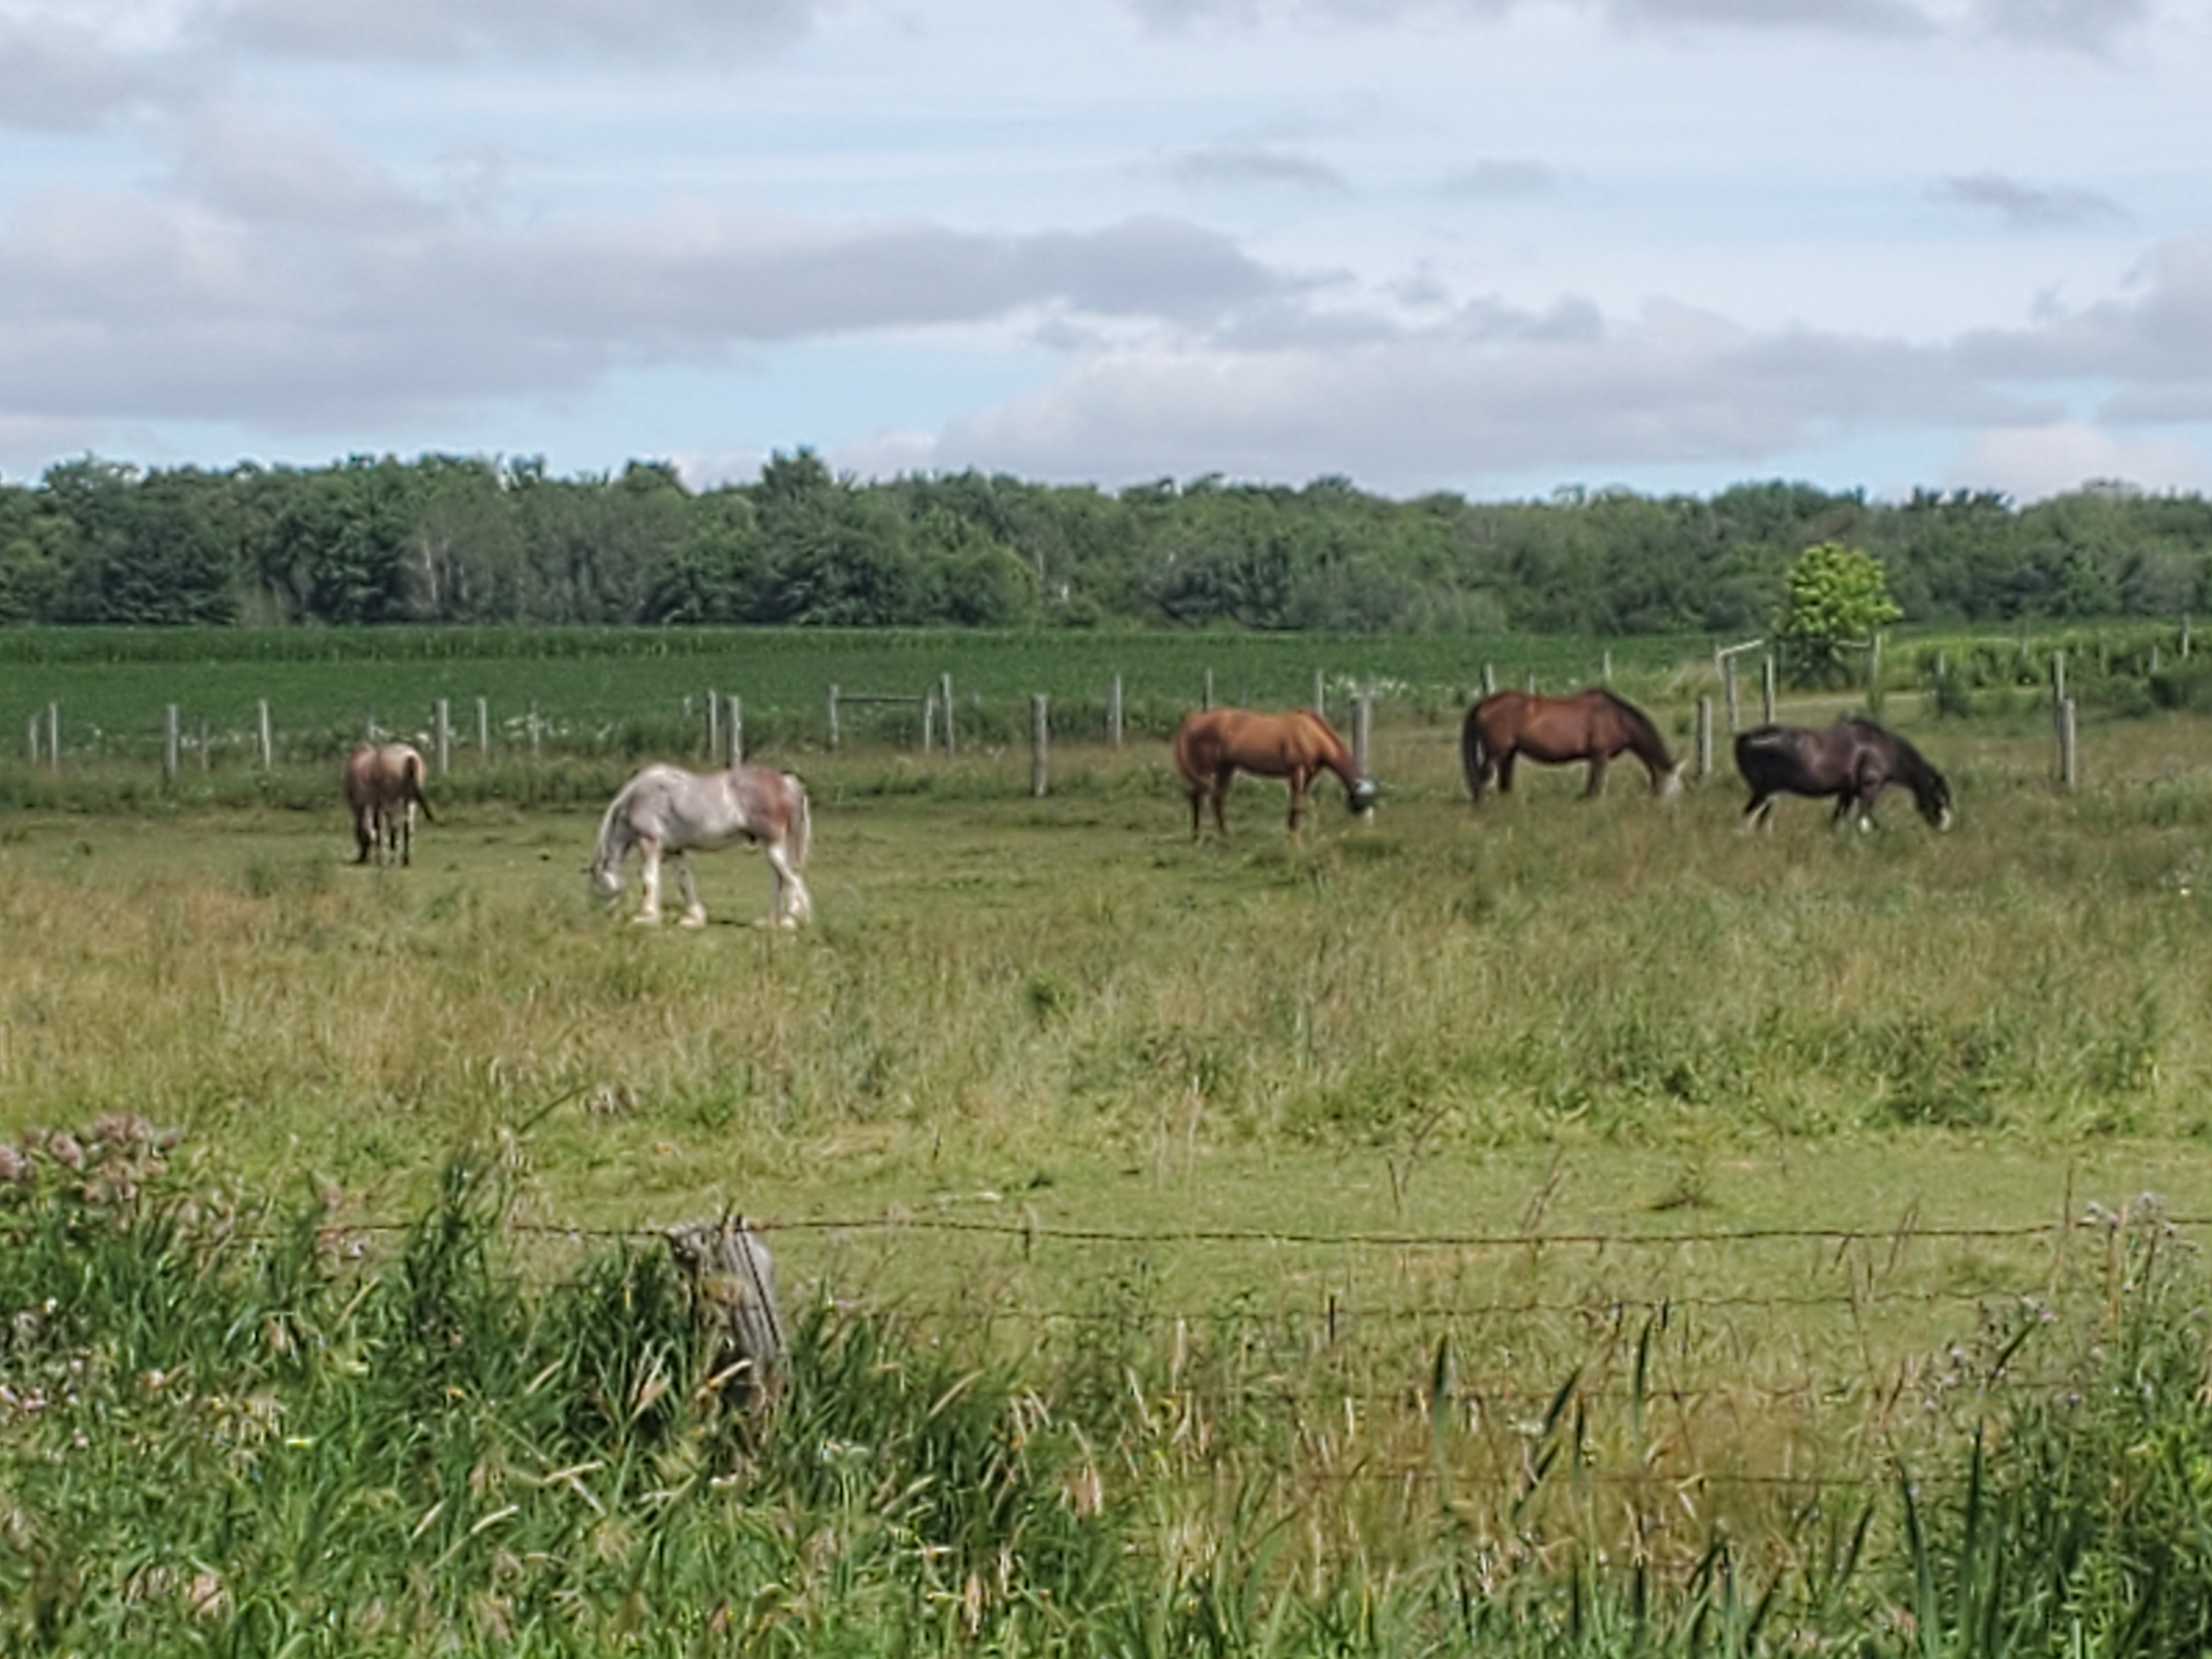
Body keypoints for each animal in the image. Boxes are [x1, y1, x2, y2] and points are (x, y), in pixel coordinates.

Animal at [342, 743, 433, 871]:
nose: (362, 858)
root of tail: (410, 758)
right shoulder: (376, 805)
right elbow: (377, 827)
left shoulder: (361, 805)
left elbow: (374, 827)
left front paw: (378, 856)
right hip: (409, 801)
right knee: (408, 828)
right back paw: (406, 860)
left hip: (392, 802)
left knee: (394, 828)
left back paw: (392, 859)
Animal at [592, 770, 818, 929]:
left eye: (599, 884)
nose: (610, 914)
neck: (640, 796)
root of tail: (787, 783)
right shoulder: (674, 852)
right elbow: (685, 882)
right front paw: (694, 918)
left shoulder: (649, 844)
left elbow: (649, 879)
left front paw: (647, 917)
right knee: (781, 878)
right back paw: (771, 922)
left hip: (774, 846)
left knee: (791, 878)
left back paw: (792, 919)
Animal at [1167, 712, 1371, 845]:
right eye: (1359, 802)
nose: (1364, 830)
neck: (1309, 733)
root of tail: (1196, 720)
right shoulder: (1298, 772)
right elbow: (1297, 805)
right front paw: (1294, 838)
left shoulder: (1307, 777)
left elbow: (1297, 804)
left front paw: (1292, 833)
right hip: (1207, 769)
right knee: (1199, 797)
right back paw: (1200, 836)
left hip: (1226, 769)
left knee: (1215, 799)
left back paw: (1222, 835)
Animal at [1460, 690, 1681, 809]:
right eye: (1675, 786)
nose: (1670, 810)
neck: (1616, 717)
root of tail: (1484, 704)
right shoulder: (1600, 756)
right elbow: (1596, 786)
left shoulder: (1595, 758)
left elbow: (1591, 785)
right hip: (1495, 753)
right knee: (1483, 781)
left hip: (1508, 754)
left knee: (1504, 783)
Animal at [1725, 721, 1955, 836]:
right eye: (1940, 799)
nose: (1945, 826)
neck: (1882, 748)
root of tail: (1748, 737)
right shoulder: (1869, 790)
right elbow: (1864, 823)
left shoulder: (1847, 793)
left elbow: (1837, 822)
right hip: (1766, 792)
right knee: (1749, 819)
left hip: (1767, 794)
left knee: (1757, 820)